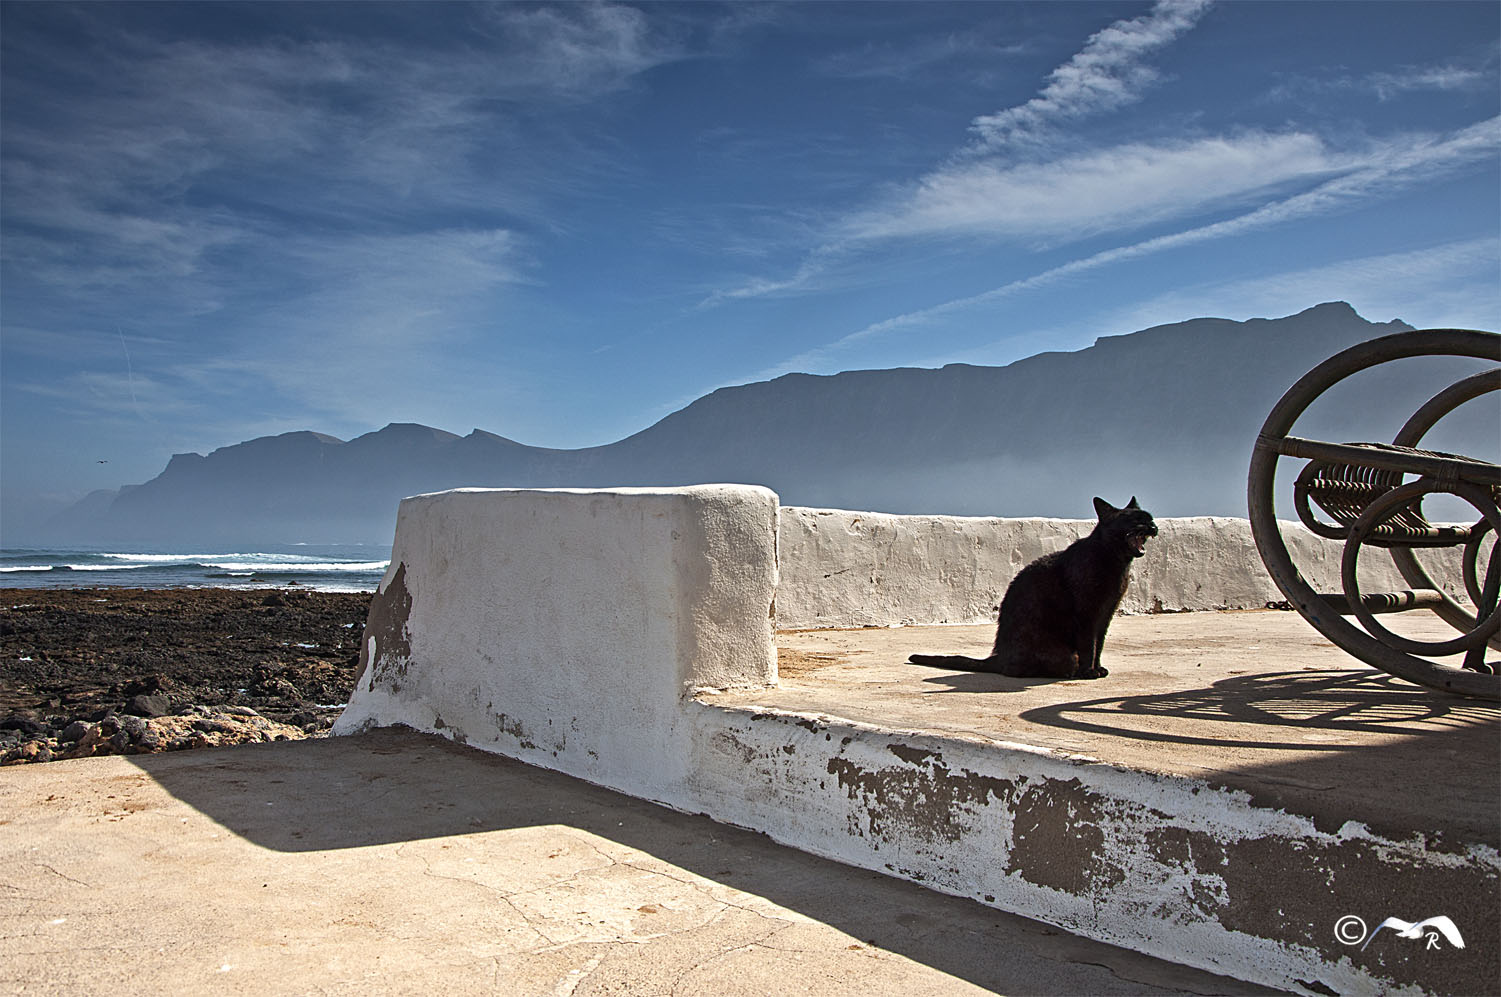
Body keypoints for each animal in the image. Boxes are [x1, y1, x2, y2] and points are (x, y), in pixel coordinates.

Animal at [906, 495, 1152, 681]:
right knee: (1021, 670)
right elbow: (1088, 646)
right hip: (1060, 653)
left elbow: (1098, 645)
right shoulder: (1087, 615)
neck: (1116, 563)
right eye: (1133, 520)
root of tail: (998, 656)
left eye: (1148, 518)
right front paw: (1088, 672)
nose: (1153, 526)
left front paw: (1097, 668)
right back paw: (1069, 672)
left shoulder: (1106, 614)